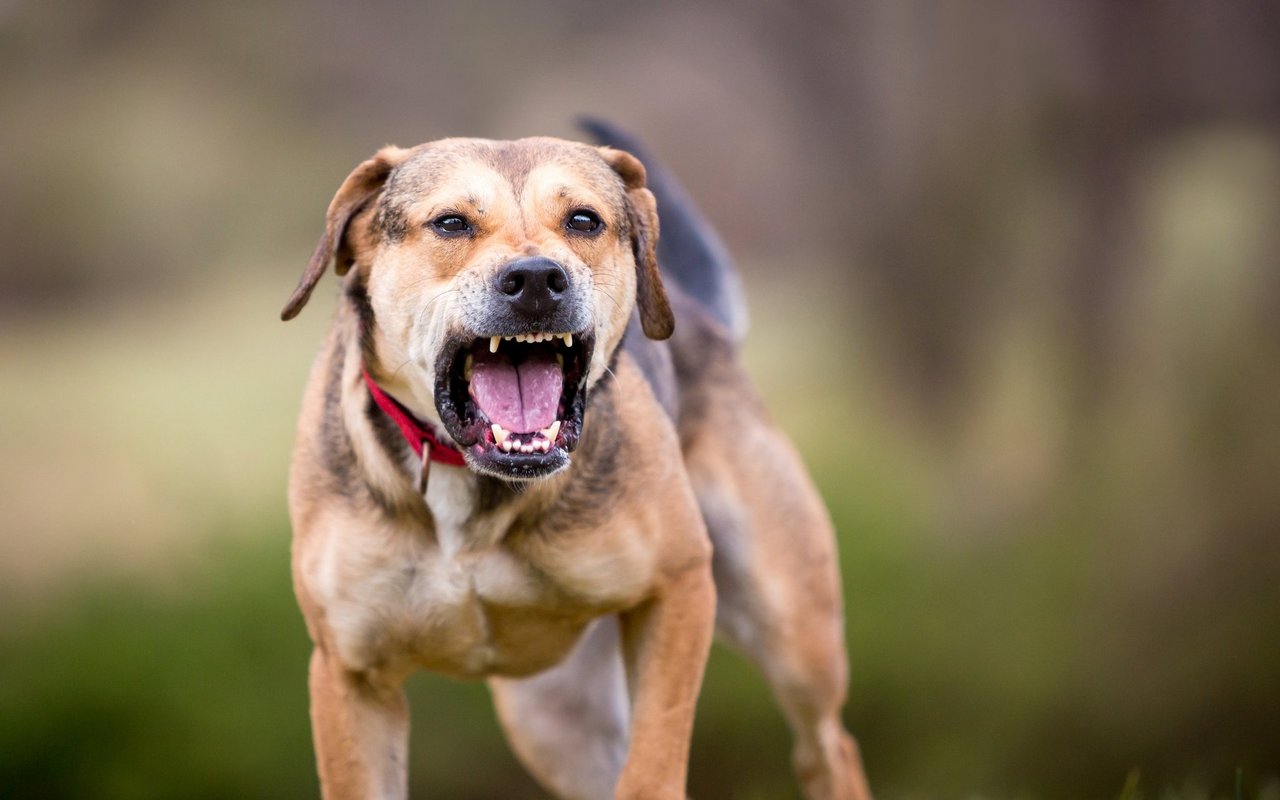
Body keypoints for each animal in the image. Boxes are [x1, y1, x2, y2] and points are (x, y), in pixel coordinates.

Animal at [280, 120, 870, 798]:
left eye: (584, 220)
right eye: (451, 223)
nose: (537, 278)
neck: (472, 483)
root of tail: (707, 323)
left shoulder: (680, 586)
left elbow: (653, 767)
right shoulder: (349, 674)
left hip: (794, 631)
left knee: (828, 747)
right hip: (555, 718)